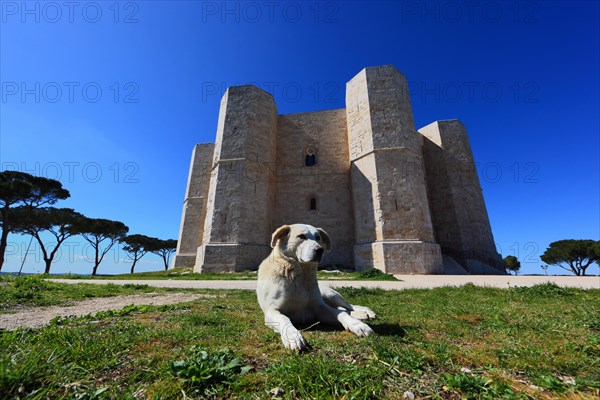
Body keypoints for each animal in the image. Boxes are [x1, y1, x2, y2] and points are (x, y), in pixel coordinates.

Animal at [256, 223, 376, 352]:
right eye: (301, 236)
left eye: (318, 237)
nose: (320, 250)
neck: (301, 276)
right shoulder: (271, 311)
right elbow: (284, 318)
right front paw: (292, 336)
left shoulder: (319, 308)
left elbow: (340, 314)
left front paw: (358, 325)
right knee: (344, 309)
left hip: (331, 295)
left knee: (348, 307)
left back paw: (365, 312)